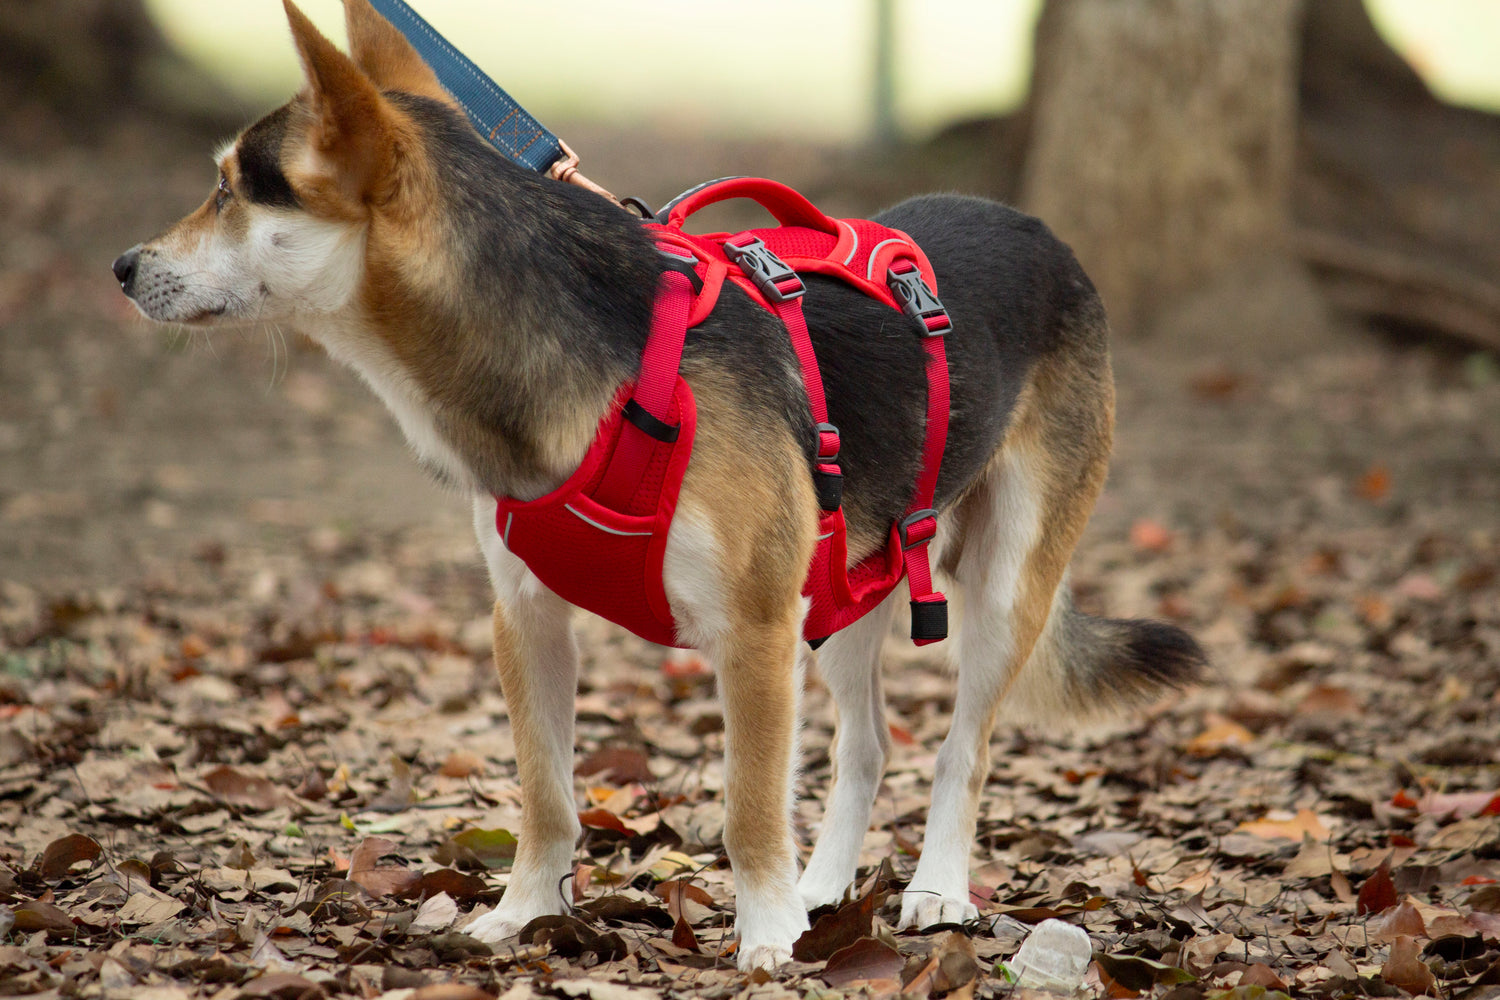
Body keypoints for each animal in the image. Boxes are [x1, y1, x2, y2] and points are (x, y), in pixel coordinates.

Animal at [111, 0, 1200, 971]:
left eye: (230, 191)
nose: (121, 265)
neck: (605, 369)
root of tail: (1036, 229)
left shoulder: (754, 631)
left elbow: (749, 806)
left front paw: (765, 938)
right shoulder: (527, 620)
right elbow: (546, 797)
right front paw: (524, 916)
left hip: (1000, 585)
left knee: (959, 748)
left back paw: (930, 888)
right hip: (848, 579)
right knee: (867, 747)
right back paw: (823, 890)